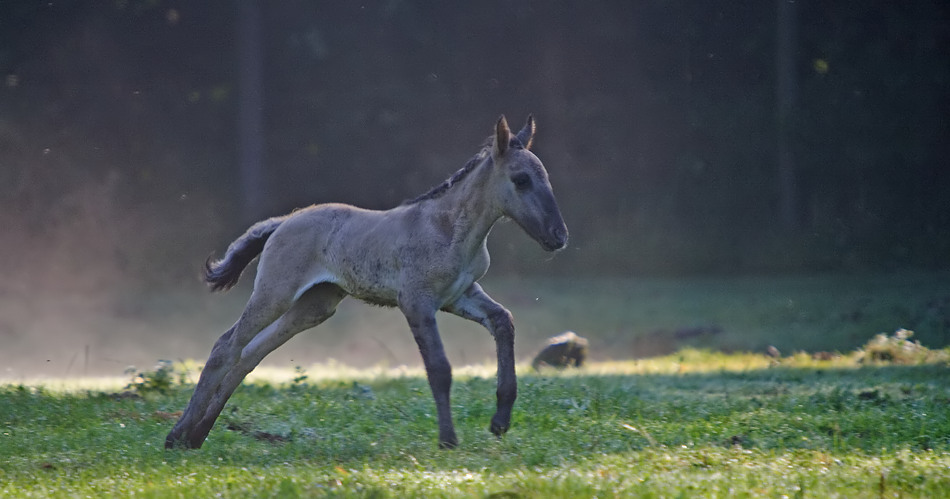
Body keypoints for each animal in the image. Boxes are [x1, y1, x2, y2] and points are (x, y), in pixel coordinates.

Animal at [166, 115, 568, 452]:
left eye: (546, 177)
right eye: (521, 180)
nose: (558, 236)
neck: (450, 229)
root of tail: (283, 222)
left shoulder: (460, 295)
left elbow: (504, 321)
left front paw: (500, 421)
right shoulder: (416, 302)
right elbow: (439, 368)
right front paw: (448, 439)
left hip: (314, 306)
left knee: (251, 354)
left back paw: (197, 435)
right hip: (275, 293)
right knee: (227, 345)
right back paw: (178, 435)